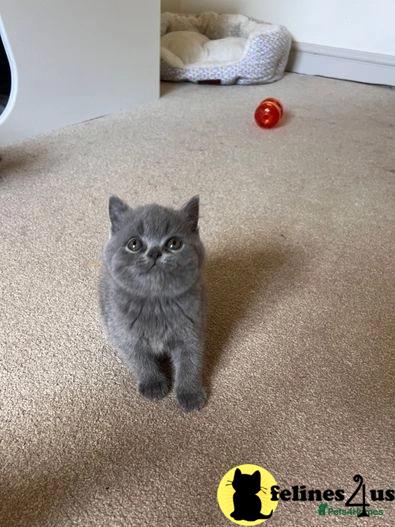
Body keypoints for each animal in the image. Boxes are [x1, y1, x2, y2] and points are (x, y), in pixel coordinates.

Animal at [100, 195, 207, 412]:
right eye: (134, 244)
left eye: (174, 243)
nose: (155, 252)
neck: (156, 303)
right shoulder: (126, 335)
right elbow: (140, 361)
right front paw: (153, 384)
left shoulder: (192, 331)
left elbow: (190, 362)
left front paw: (190, 394)